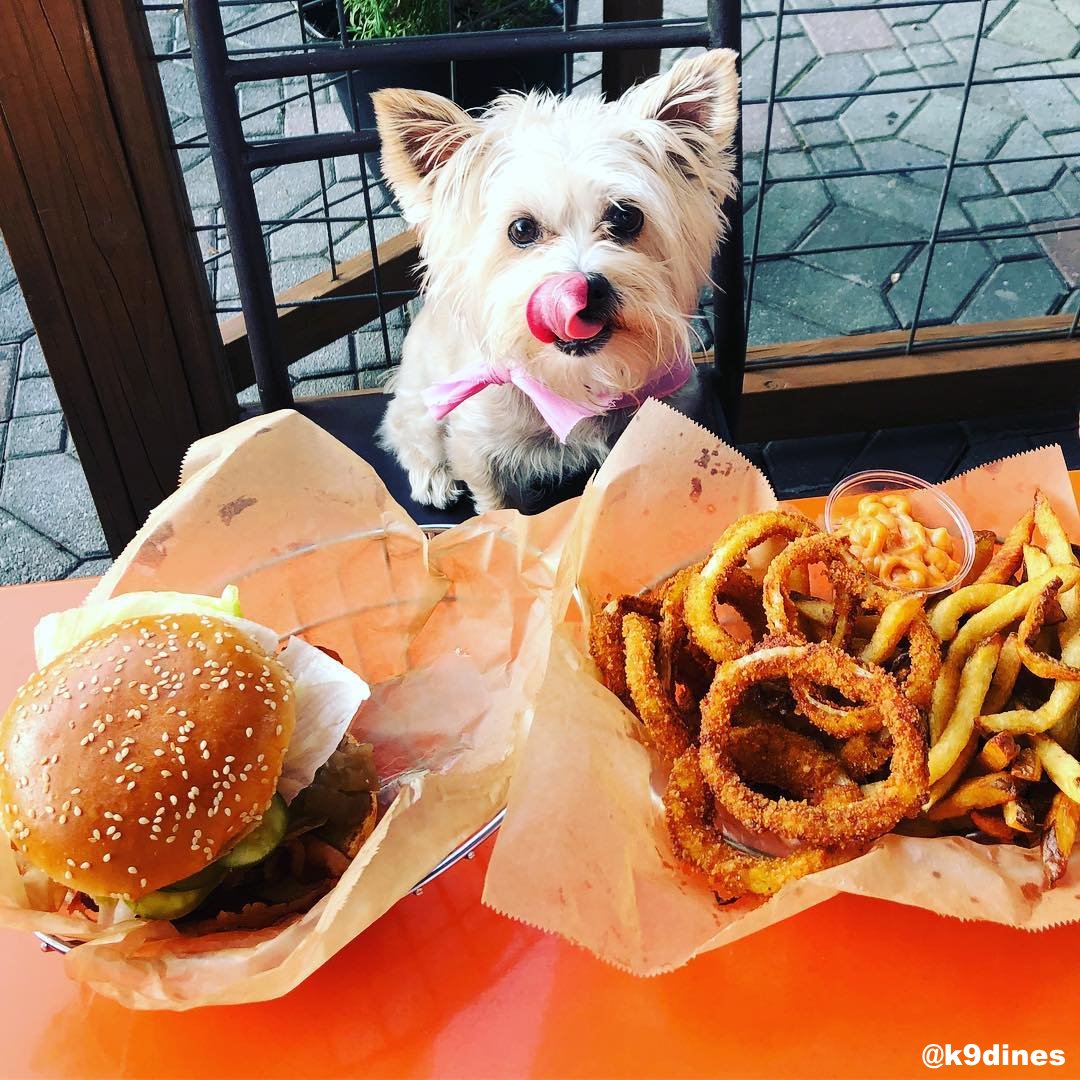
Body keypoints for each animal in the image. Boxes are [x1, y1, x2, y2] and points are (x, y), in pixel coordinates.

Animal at [373, 52, 743, 516]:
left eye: (626, 216)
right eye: (521, 229)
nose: (584, 290)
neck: (576, 385)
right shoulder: (479, 448)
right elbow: (499, 506)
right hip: (423, 394)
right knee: (405, 429)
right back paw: (432, 476)